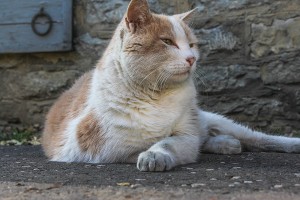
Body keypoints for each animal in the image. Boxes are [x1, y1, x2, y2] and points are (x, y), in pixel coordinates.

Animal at [41, 0, 300, 172]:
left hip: (214, 120)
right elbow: (145, 145)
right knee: (209, 139)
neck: (157, 96)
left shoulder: (185, 132)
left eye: (192, 45)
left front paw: (155, 155)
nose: (191, 58)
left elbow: (171, 141)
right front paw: (150, 155)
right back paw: (226, 144)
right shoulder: (100, 147)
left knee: (257, 138)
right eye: (167, 42)